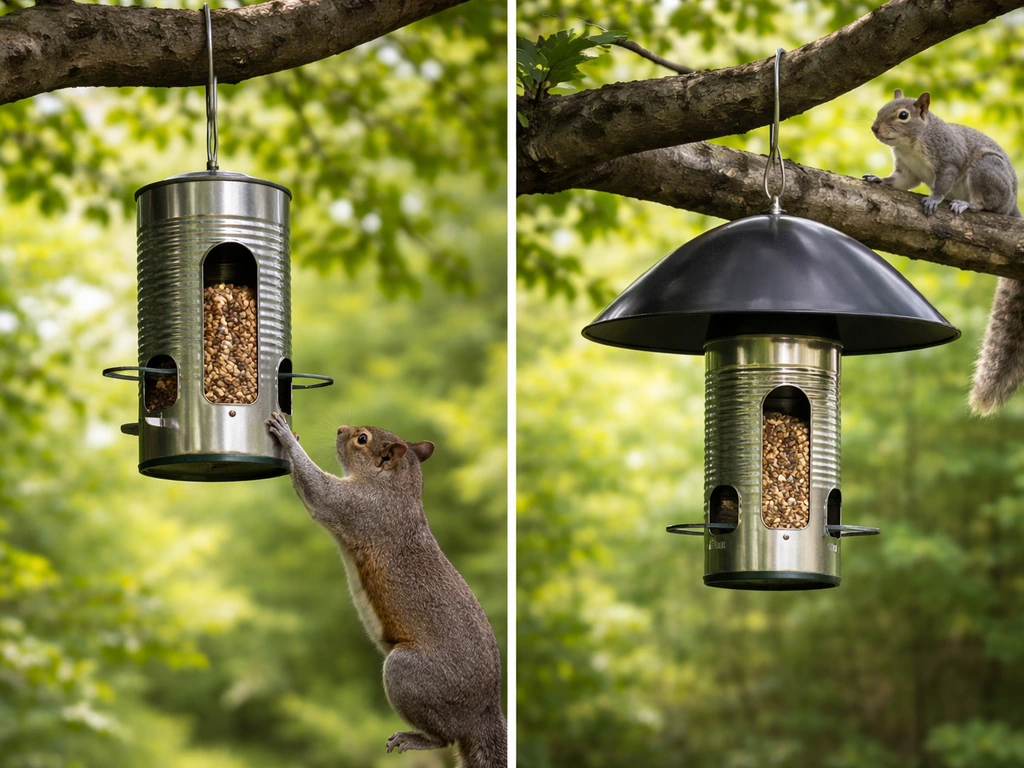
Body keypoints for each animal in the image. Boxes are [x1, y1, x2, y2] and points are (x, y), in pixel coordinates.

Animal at [265, 412, 506, 767]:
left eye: (362, 439)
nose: (340, 429)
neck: (396, 487)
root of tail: (484, 712)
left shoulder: (362, 508)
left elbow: (319, 491)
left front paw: (287, 436)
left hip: (409, 674)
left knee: (444, 738)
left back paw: (414, 738)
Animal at [863, 89, 1023, 415]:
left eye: (903, 115)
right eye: (881, 109)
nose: (874, 128)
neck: (911, 143)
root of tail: (1013, 206)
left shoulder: (948, 159)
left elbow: (942, 182)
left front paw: (934, 200)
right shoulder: (907, 170)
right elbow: (898, 181)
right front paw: (877, 179)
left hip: (986, 173)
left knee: (988, 205)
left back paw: (966, 204)